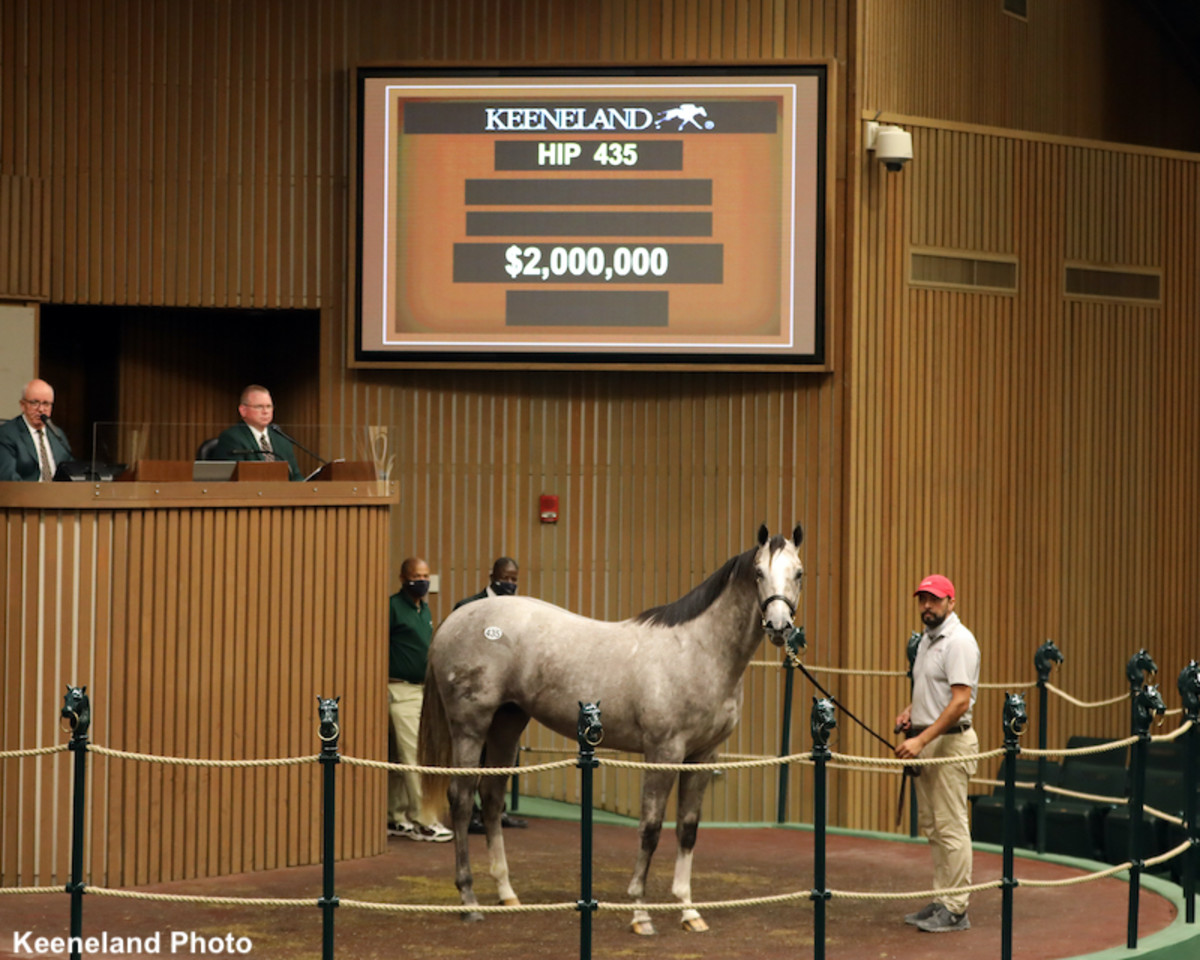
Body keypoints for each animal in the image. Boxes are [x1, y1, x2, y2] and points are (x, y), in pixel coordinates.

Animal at [422, 525, 806, 931]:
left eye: (798, 573)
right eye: (758, 573)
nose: (779, 627)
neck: (697, 650)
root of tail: (454, 621)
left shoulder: (703, 756)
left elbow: (687, 829)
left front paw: (689, 911)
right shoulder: (663, 752)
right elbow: (650, 828)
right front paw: (640, 913)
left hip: (507, 723)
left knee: (492, 798)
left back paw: (507, 894)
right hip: (470, 726)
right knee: (462, 799)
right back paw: (469, 899)